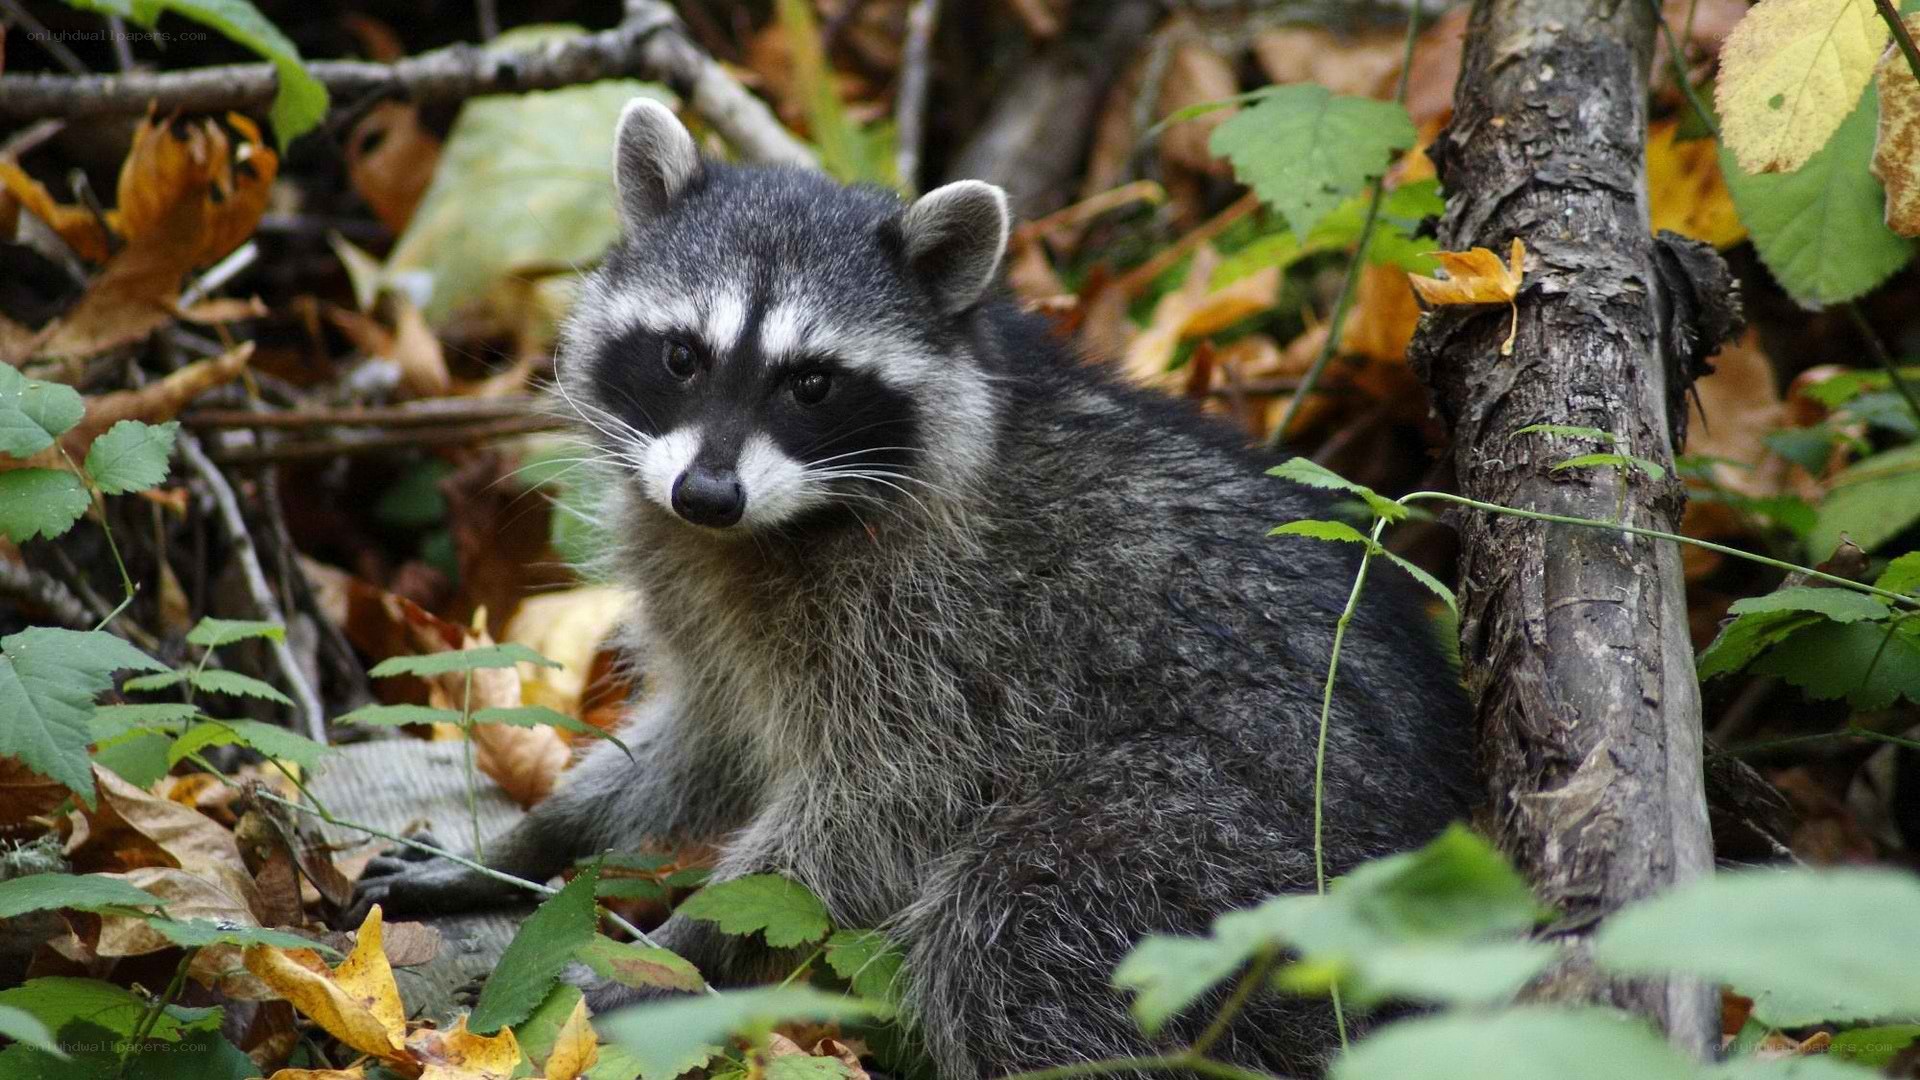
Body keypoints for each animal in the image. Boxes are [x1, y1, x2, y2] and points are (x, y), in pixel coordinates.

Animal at [354, 98, 1475, 1077]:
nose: (706, 493)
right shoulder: (710, 602)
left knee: (1010, 925)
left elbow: (874, 815)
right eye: (682, 356)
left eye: (811, 383)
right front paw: (537, 834)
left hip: (1221, 848)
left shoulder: (947, 637)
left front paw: (678, 947)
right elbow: (702, 744)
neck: (769, 530)